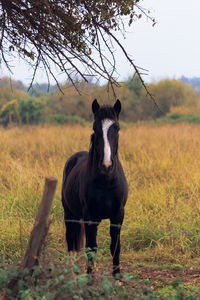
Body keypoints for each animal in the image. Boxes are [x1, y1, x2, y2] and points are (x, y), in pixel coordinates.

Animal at [61, 99, 129, 276]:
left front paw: (117, 276)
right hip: (69, 214)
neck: (106, 181)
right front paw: (89, 277)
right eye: (94, 128)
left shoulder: (118, 215)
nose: (107, 165)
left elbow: (115, 246)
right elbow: (91, 248)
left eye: (116, 127)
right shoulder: (90, 216)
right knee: (70, 240)